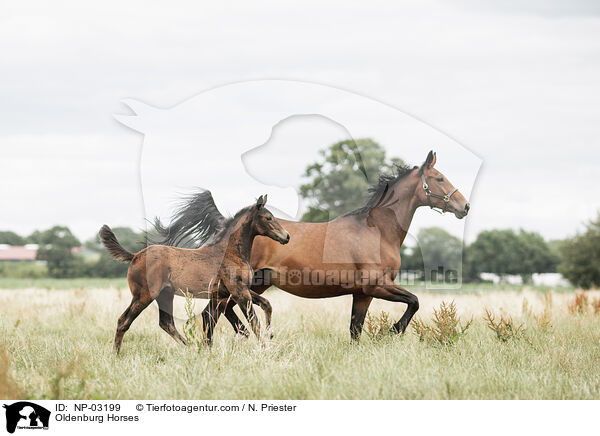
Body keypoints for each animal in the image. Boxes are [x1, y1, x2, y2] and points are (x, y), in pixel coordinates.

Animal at [99, 196, 290, 352]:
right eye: (268, 217)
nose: (286, 236)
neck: (231, 253)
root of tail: (135, 256)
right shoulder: (239, 291)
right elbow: (254, 322)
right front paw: (265, 348)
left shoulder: (233, 292)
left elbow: (266, 304)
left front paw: (270, 334)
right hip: (144, 295)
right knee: (124, 321)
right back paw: (115, 356)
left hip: (165, 295)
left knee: (166, 323)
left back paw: (190, 348)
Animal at [154, 152, 468, 338]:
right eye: (439, 178)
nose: (464, 206)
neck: (377, 231)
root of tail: (228, 225)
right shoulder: (377, 286)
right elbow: (414, 301)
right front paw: (393, 330)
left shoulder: (362, 294)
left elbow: (355, 330)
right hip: (238, 286)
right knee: (212, 315)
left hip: (253, 285)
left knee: (219, 314)